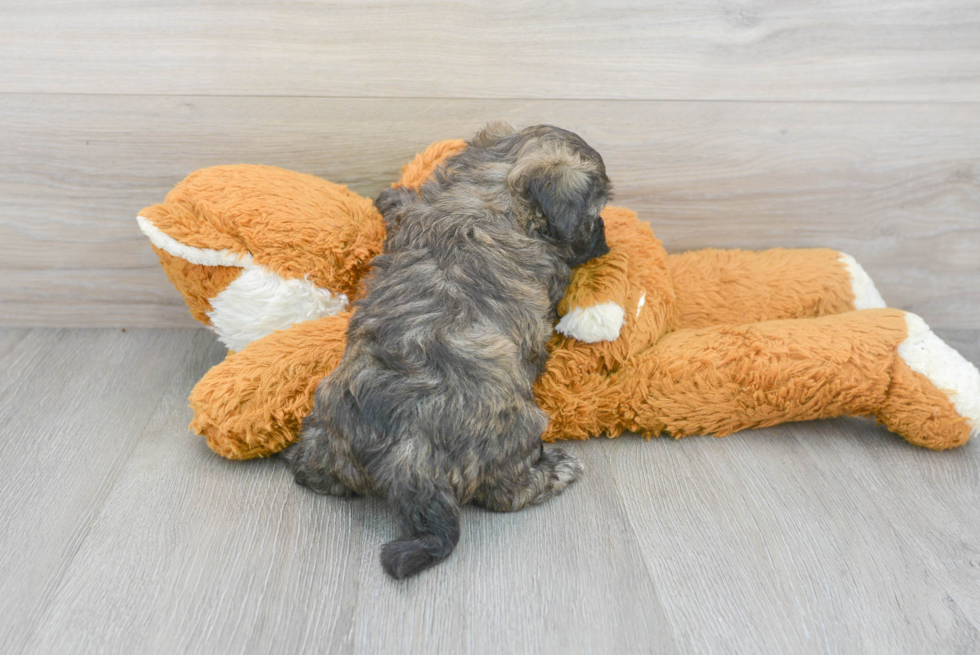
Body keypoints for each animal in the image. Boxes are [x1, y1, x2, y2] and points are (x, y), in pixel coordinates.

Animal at [280, 123, 608, 580]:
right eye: (595, 212)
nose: (606, 240)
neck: (489, 189)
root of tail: (408, 456)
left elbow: (403, 207)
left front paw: (394, 194)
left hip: (328, 416)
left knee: (316, 470)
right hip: (520, 428)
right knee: (506, 493)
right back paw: (555, 469)